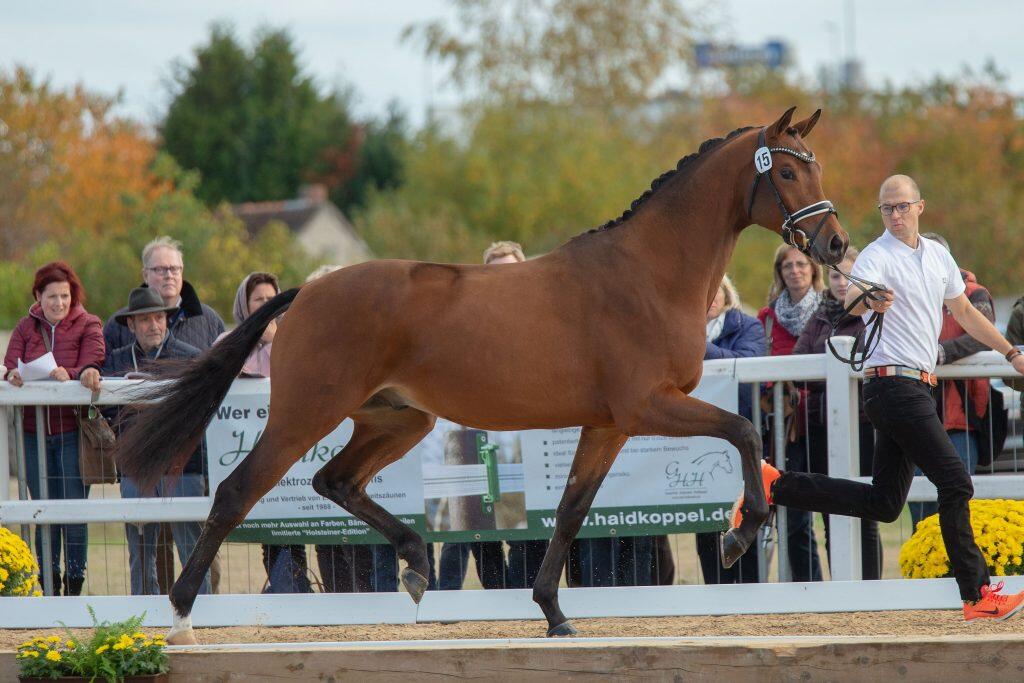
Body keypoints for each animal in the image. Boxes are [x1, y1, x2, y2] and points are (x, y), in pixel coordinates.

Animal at [116, 105, 847, 643]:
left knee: (336, 480)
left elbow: (572, 509)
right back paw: (180, 617)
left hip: (400, 419)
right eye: (786, 172)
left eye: (814, 169)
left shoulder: (607, 424)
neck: (646, 273)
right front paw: (738, 535)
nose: (835, 242)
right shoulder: (648, 405)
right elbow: (744, 432)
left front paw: (553, 612)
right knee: (237, 492)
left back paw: (415, 562)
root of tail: (311, 290)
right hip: (305, 414)